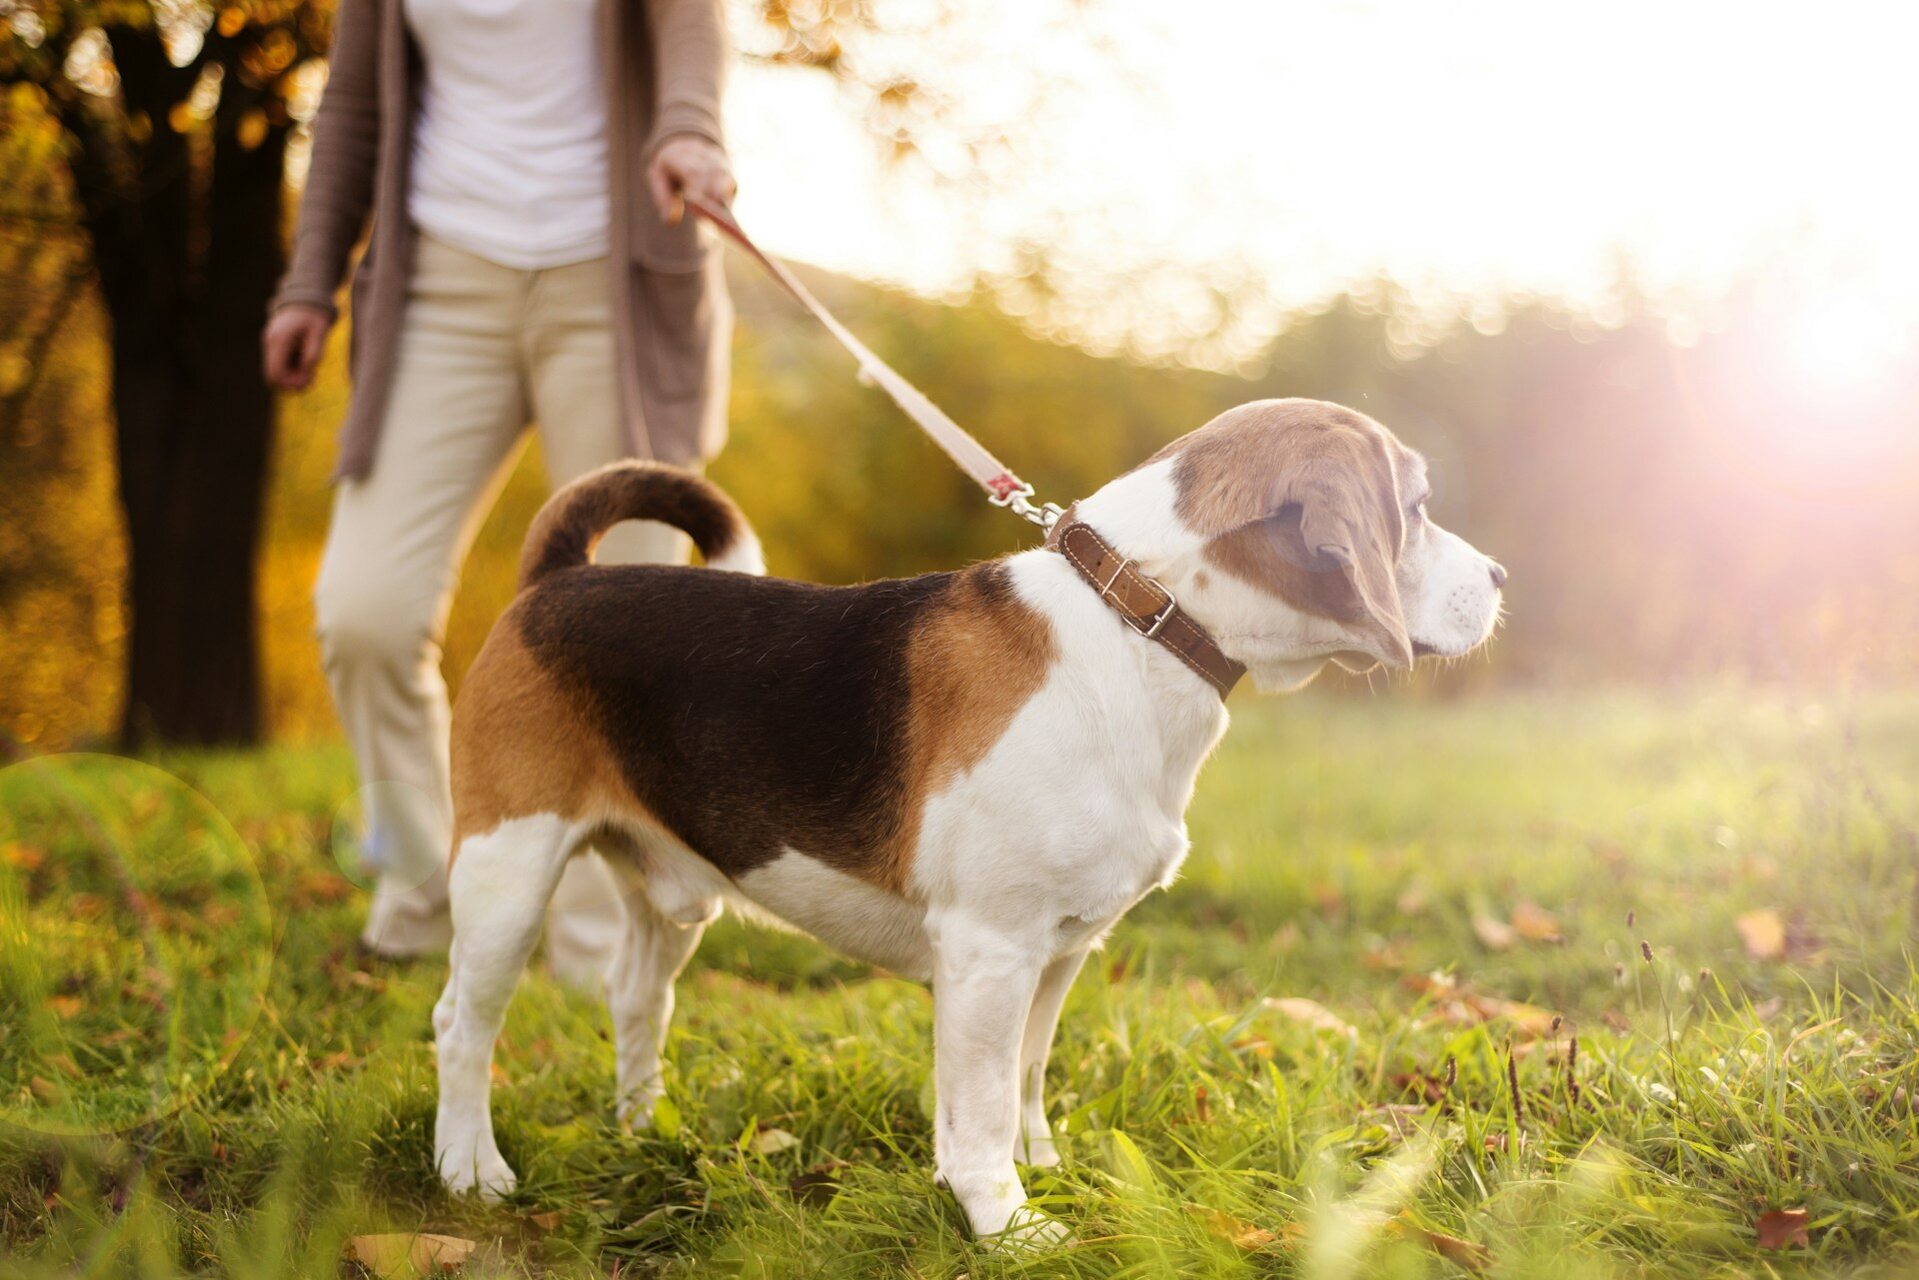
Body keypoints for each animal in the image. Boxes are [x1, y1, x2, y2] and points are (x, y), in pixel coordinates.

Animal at [431, 397, 1496, 1243]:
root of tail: (556, 579)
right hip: (505, 872)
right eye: (1415, 509)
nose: (1500, 580)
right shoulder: (990, 948)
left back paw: (643, 1130)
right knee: (462, 1023)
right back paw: (469, 1170)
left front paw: (1038, 1171)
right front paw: (1006, 1222)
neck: (1136, 621)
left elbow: (1022, 1079)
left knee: (633, 998)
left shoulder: (1059, 951)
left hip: (667, 898)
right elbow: (980, 1104)